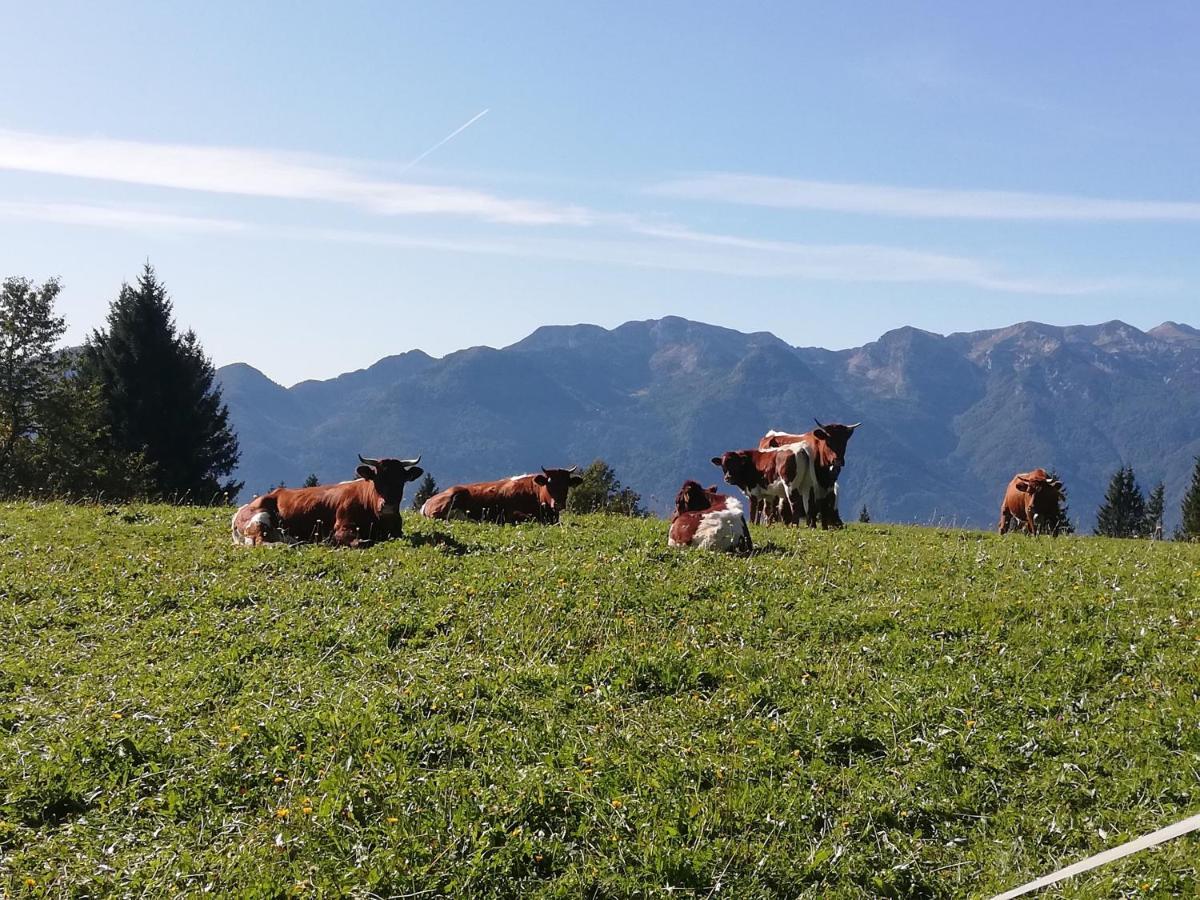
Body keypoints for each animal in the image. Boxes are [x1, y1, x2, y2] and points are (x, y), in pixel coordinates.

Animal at [231, 453, 424, 547]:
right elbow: (361, 541)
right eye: (376, 480)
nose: (388, 505)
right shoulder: (341, 527)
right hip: (260, 518)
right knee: (260, 542)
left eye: (401, 481)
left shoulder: (397, 531)